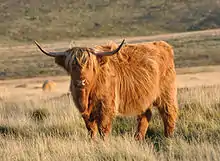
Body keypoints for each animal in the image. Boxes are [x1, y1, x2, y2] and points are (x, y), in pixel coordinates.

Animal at [34, 39, 179, 141]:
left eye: (89, 65)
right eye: (72, 65)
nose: (81, 82)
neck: (87, 95)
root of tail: (163, 45)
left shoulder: (106, 106)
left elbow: (103, 128)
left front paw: (104, 143)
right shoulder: (85, 111)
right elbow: (91, 129)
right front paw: (93, 142)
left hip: (167, 93)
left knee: (169, 113)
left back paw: (168, 137)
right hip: (143, 97)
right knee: (145, 116)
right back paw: (138, 138)